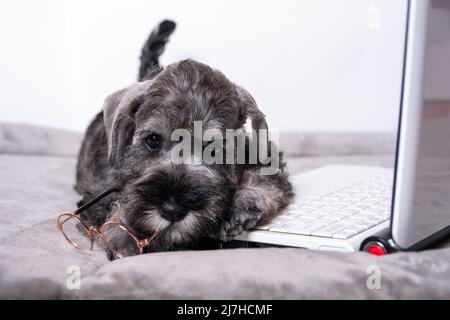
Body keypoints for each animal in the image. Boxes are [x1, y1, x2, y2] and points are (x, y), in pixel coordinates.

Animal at [75, 20, 294, 260]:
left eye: (215, 150)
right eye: (153, 140)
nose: (172, 210)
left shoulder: (266, 157)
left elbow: (265, 180)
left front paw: (238, 206)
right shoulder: (96, 194)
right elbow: (107, 210)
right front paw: (125, 233)